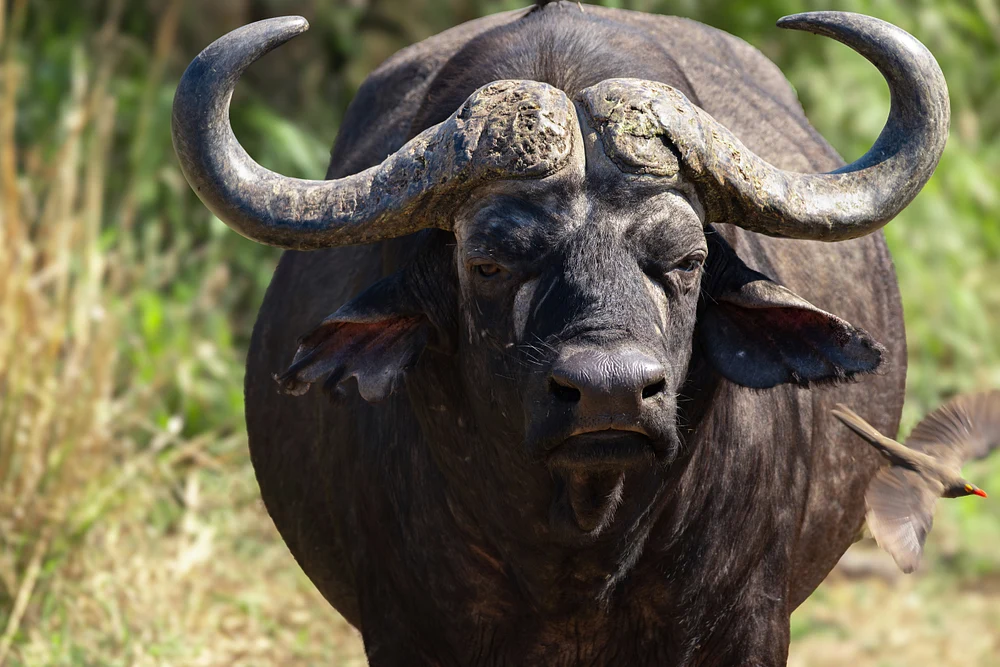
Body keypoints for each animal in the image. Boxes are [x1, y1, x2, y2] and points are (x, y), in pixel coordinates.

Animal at [172, 2, 948, 664]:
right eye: (489, 262)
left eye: (686, 259)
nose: (612, 393)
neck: (580, 548)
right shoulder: (406, 628)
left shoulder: (746, 624)